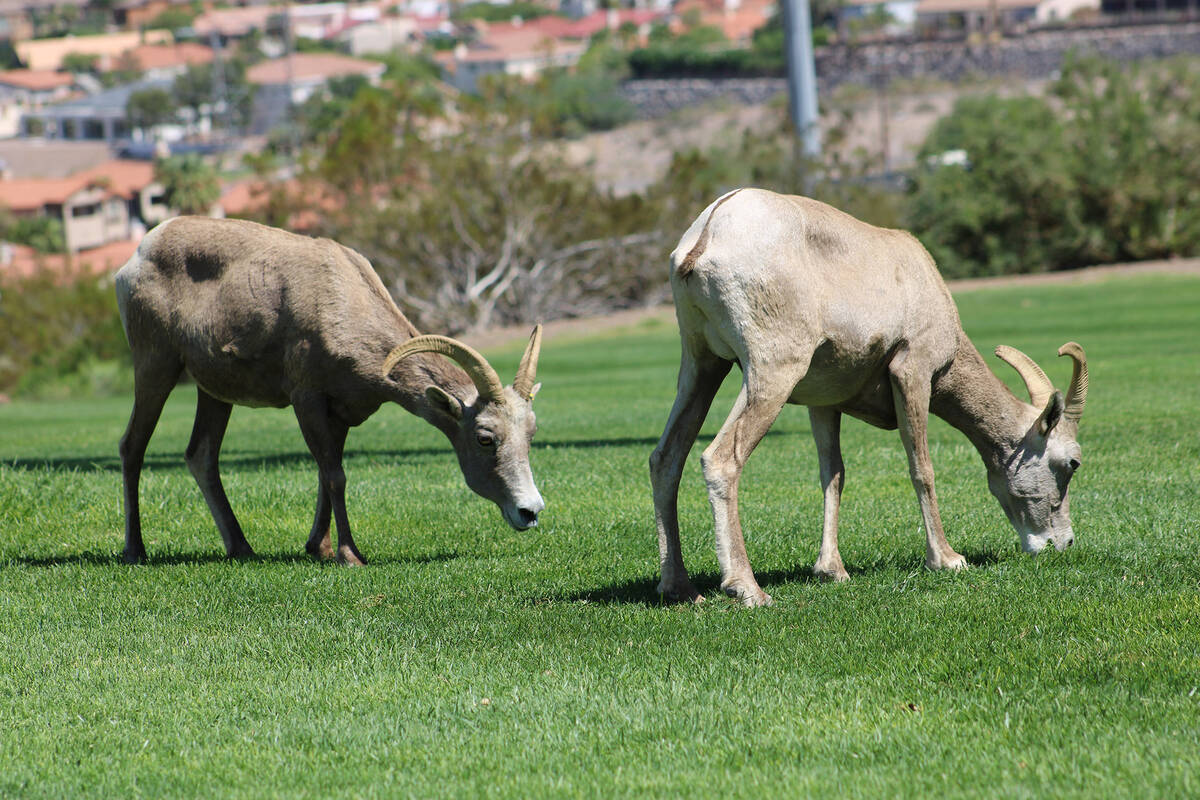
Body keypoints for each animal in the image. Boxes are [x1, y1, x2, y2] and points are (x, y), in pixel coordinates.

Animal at [114, 215, 547, 566]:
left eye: (531, 433)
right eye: (485, 438)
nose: (531, 512)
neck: (344, 302)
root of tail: (138, 255)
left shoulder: (341, 413)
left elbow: (327, 474)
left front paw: (318, 549)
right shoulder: (306, 400)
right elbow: (336, 476)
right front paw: (349, 555)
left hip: (215, 392)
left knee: (201, 455)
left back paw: (242, 549)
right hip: (155, 366)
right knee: (133, 446)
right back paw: (135, 551)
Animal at [652, 189, 1094, 606]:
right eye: (1071, 463)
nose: (1061, 544)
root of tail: (706, 235)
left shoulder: (822, 403)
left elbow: (833, 475)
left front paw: (832, 571)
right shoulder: (912, 373)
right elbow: (922, 468)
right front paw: (948, 560)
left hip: (702, 365)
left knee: (666, 458)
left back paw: (680, 588)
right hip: (771, 373)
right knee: (721, 459)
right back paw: (747, 590)